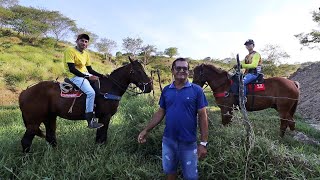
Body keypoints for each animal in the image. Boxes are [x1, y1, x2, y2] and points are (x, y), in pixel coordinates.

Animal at [19, 56, 153, 152]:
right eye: (138, 71)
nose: (149, 87)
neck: (110, 87)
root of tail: (24, 92)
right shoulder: (105, 117)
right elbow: (102, 137)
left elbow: (99, 137)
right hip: (34, 122)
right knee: (26, 141)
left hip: (49, 118)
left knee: (51, 137)